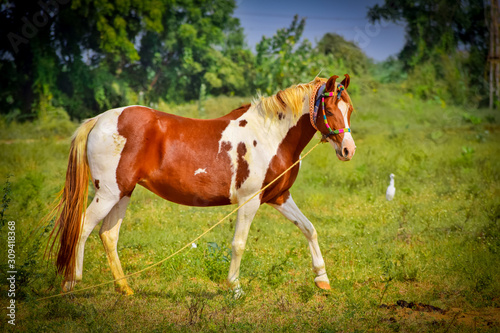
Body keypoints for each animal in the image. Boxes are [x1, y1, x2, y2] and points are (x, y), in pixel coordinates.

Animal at [49, 74, 356, 294]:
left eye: (349, 109)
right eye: (329, 109)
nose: (348, 150)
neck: (270, 136)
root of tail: (98, 119)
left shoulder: (279, 196)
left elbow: (309, 229)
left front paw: (322, 280)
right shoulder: (250, 200)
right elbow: (239, 244)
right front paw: (235, 289)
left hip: (123, 192)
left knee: (108, 235)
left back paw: (125, 289)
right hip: (108, 193)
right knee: (82, 227)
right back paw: (70, 283)